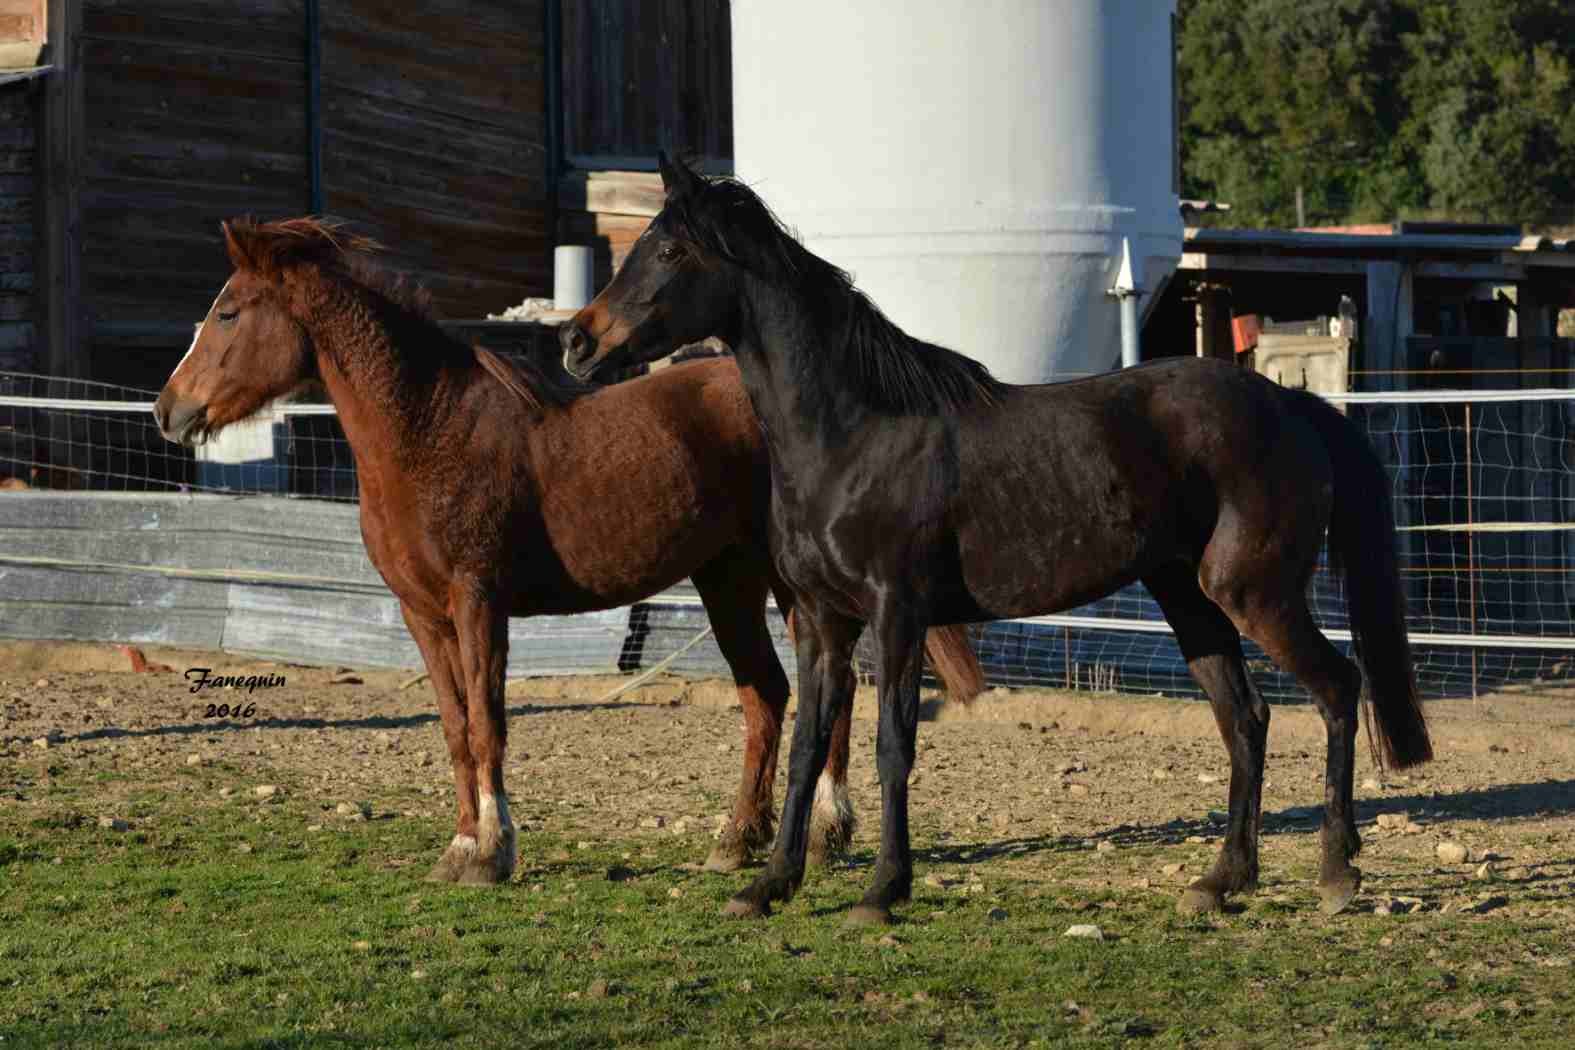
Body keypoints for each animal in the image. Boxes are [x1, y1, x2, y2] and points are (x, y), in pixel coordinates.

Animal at [153, 220, 976, 887]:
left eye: (227, 312)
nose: (168, 410)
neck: (426, 429)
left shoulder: (479, 603)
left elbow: (488, 722)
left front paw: (493, 852)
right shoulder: (422, 614)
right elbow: (454, 727)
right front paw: (460, 846)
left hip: (776, 581)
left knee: (818, 691)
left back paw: (820, 831)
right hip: (728, 579)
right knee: (771, 695)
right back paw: (744, 841)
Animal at [560, 151, 1436, 925]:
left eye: (669, 249)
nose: (578, 343)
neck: (852, 432)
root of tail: (1291, 405)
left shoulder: (898, 613)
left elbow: (892, 744)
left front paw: (881, 892)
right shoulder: (817, 618)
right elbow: (809, 745)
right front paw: (768, 886)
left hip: (1254, 593)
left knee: (1336, 689)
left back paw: (1335, 873)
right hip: (1190, 603)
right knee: (1246, 719)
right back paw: (1221, 882)